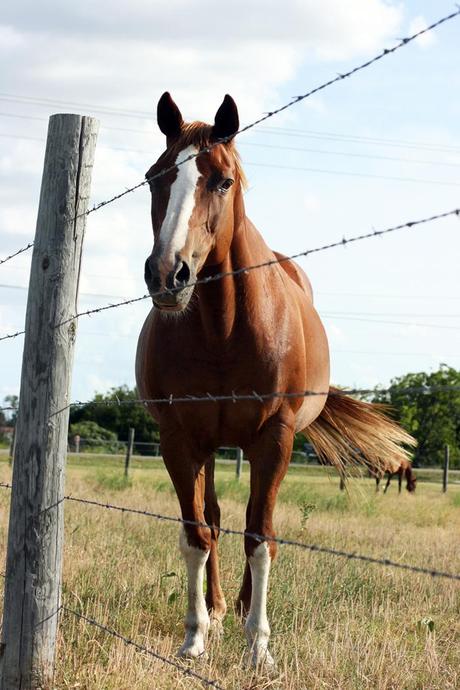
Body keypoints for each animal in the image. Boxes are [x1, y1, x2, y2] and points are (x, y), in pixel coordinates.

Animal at [136, 92, 414, 668]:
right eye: (154, 177)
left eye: (222, 181)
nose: (167, 275)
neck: (222, 328)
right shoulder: (179, 440)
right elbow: (196, 534)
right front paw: (195, 636)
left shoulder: (274, 438)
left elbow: (261, 536)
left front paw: (258, 647)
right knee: (216, 519)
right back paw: (221, 608)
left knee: (251, 522)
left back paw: (243, 608)